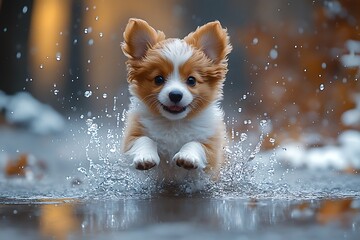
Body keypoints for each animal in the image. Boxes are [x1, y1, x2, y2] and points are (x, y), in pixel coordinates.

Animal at [121, 17, 232, 181]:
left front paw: (187, 157)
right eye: (158, 79)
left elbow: (196, 144)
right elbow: (143, 140)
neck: (174, 123)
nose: (175, 94)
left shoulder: (213, 149)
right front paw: (145, 158)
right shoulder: (133, 134)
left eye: (191, 80)